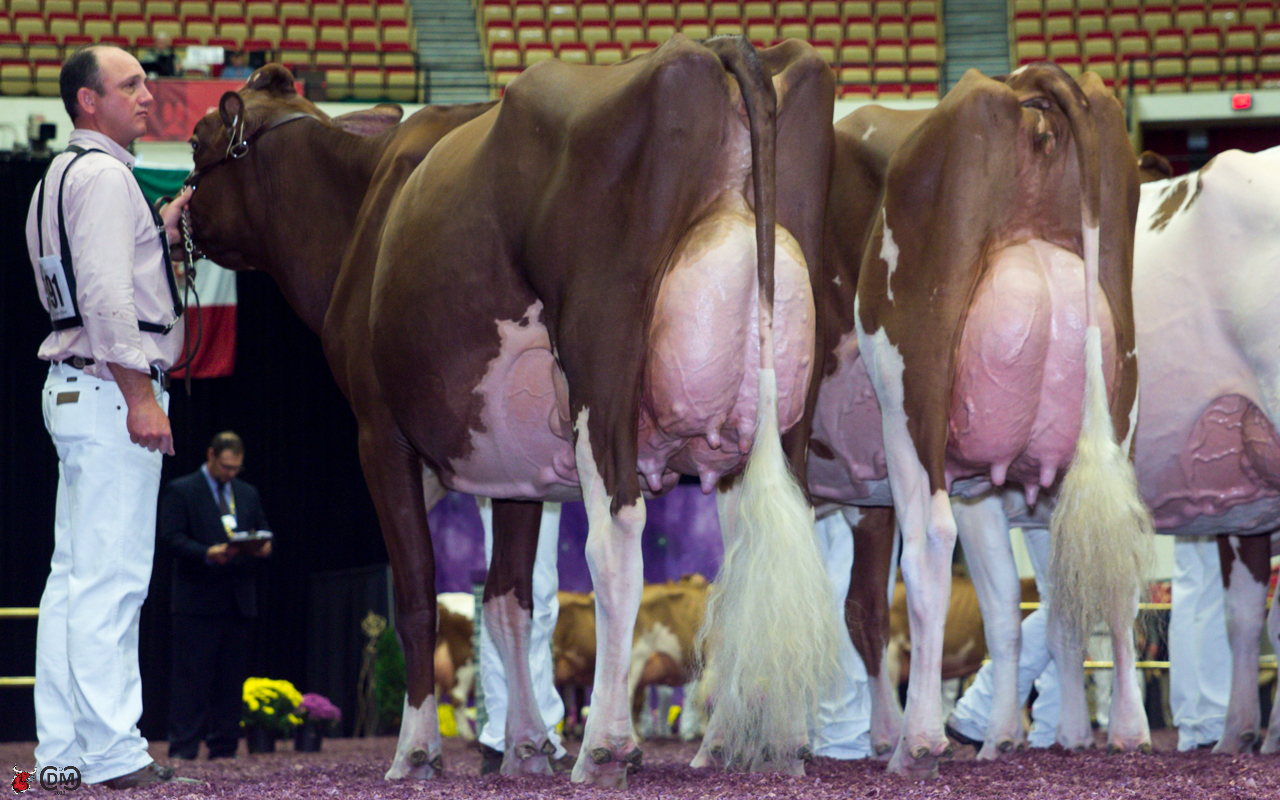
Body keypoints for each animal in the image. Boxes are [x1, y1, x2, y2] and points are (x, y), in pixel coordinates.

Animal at [184, 36, 840, 787]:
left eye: (196, 141)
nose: (172, 212)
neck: (361, 215)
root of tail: (710, 46)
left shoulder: (379, 437)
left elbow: (417, 594)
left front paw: (416, 750)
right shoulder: (515, 469)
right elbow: (506, 602)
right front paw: (526, 745)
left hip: (602, 363)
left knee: (616, 539)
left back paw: (607, 745)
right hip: (783, 401)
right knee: (768, 546)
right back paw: (754, 741)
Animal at [807, 64, 1151, 777]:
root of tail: (1016, 87)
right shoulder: (943, 492)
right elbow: (873, 610)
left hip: (909, 391)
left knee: (931, 543)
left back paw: (920, 741)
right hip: (1112, 409)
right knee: (1105, 556)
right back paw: (1115, 730)